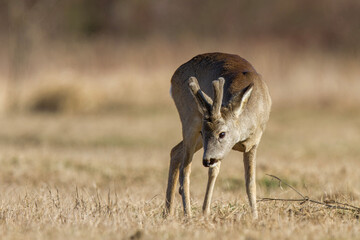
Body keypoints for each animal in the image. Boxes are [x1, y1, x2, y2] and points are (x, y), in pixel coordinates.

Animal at [165, 53, 272, 219]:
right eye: (204, 132)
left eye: (222, 133)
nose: (207, 160)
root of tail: (173, 77)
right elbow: (213, 173)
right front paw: (205, 212)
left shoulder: (253, 143)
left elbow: (250, 182)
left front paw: (255, 216)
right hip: (190, 121)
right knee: (185, 169)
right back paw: (187, 214)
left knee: (175, 151)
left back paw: (168, 212)